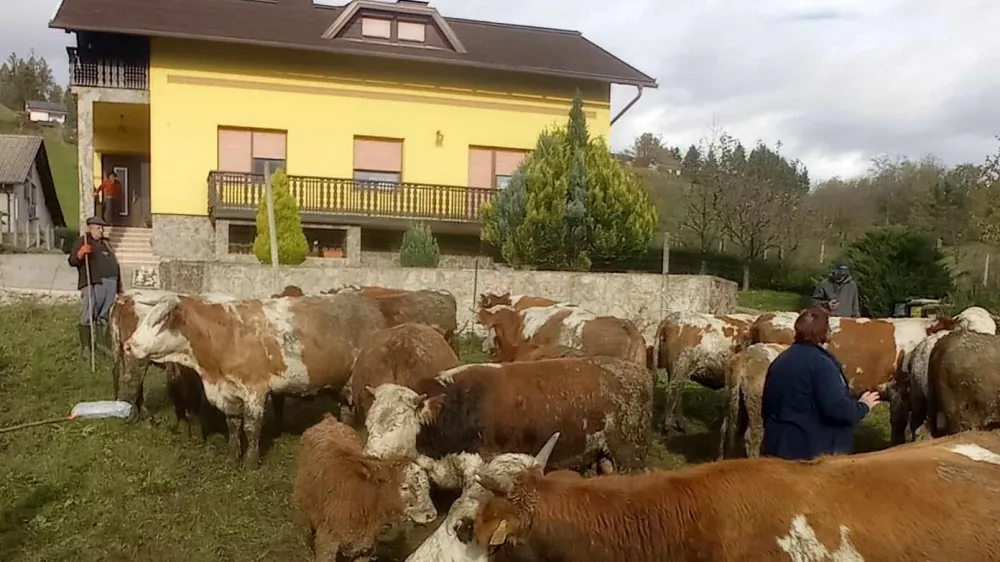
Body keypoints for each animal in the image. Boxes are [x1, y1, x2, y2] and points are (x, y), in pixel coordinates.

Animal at [124, 290, 386, 466]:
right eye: (146, 318)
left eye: (159, 321)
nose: (128, 345)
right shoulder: (228, 392)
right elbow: (233, 425)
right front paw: (232, 458)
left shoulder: (255, 390)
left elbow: (251, 427)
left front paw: (250, 463)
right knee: (346, 411)